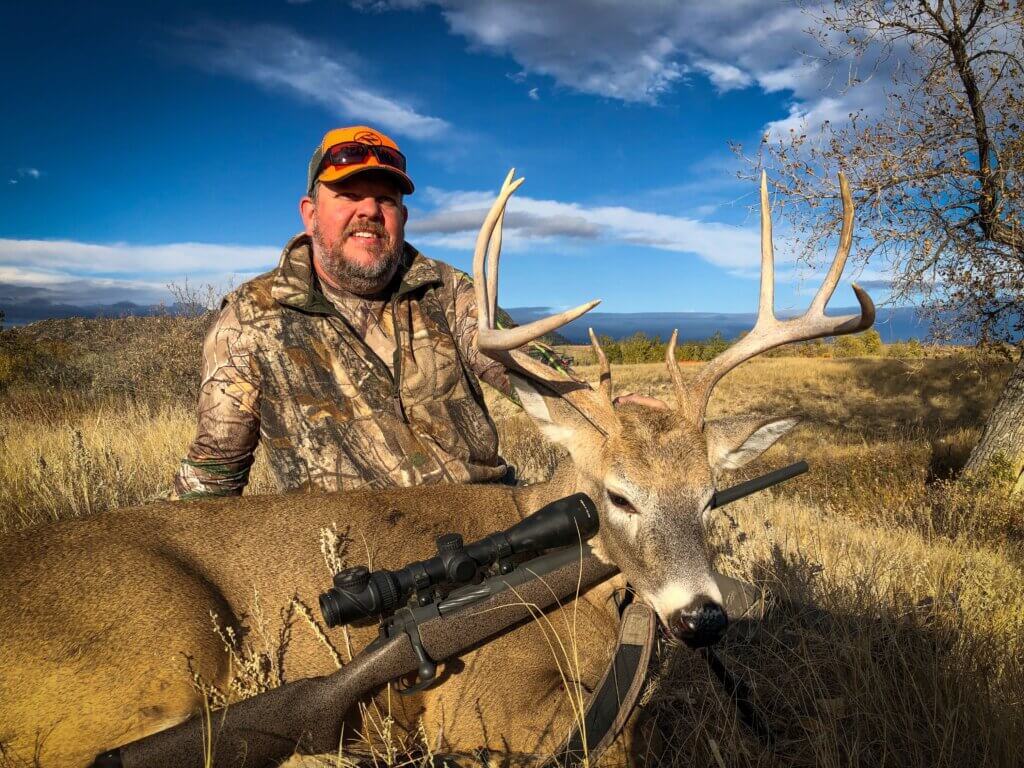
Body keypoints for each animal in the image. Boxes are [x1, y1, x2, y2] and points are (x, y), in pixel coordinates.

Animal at [0, 171, 873, 767]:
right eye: (619, 495)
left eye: (712, 496)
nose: (703, 618)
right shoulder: (482, 702)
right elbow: (615, 744)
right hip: (158, 649)